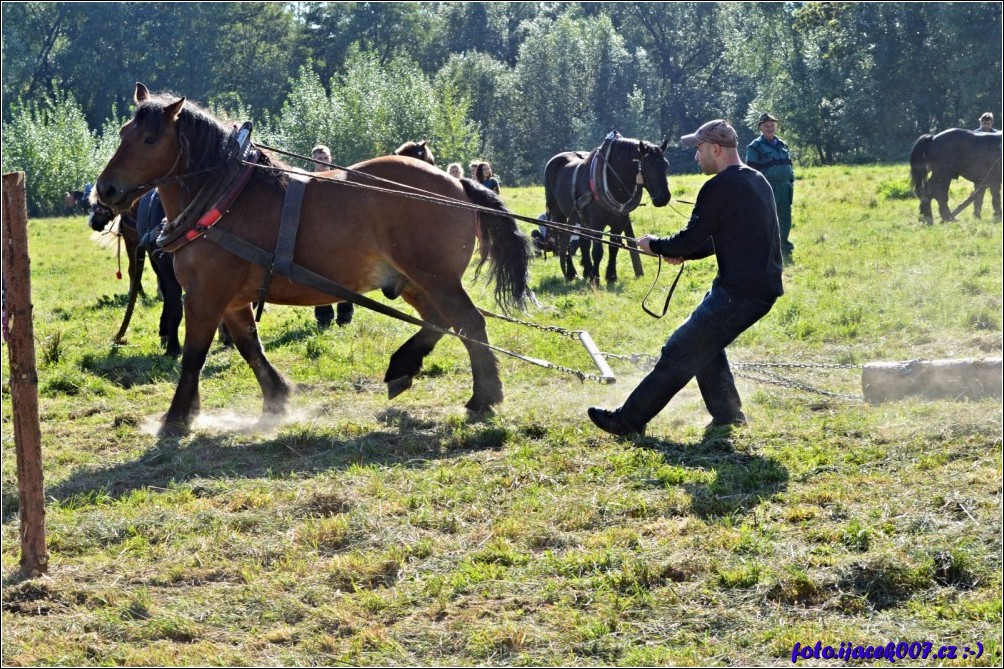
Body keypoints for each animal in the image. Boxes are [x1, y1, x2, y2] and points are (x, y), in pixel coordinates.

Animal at [94, 83, 534, 435]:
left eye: (150, 140)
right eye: (124, 132)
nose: (106, 189)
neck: (222, 195)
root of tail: (457, 185)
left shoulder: (205, 295)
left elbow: (193, 357)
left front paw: (176, 418)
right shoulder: (231, 300)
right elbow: (250, 347)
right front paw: (276, 398)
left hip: (436, 277)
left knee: (469, 323)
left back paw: (483, 397)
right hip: (414, 281)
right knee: (440, 322)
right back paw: (403, 368)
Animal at [546, 132, 670, 281]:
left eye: (666, 164)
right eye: (647, 165)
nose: (663, 198)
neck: (613, 180)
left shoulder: (619, 222)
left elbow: (614, 247)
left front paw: (610, 275)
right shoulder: (596, 223)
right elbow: (598, 251)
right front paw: (596, 277)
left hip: (581, 219)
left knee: (583, 243)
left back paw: (587, 271)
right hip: (560, 215)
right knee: (565, 241)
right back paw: (571, 272)